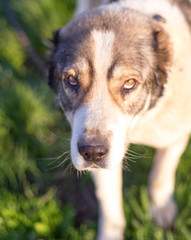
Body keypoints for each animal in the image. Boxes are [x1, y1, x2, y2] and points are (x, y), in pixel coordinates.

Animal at [48, 0, 191, 239]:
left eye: (130, 82)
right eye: (71, 80)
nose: (92, 152)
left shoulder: (175, 133)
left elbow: (162, 172)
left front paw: (161, 208)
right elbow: (110, 205)